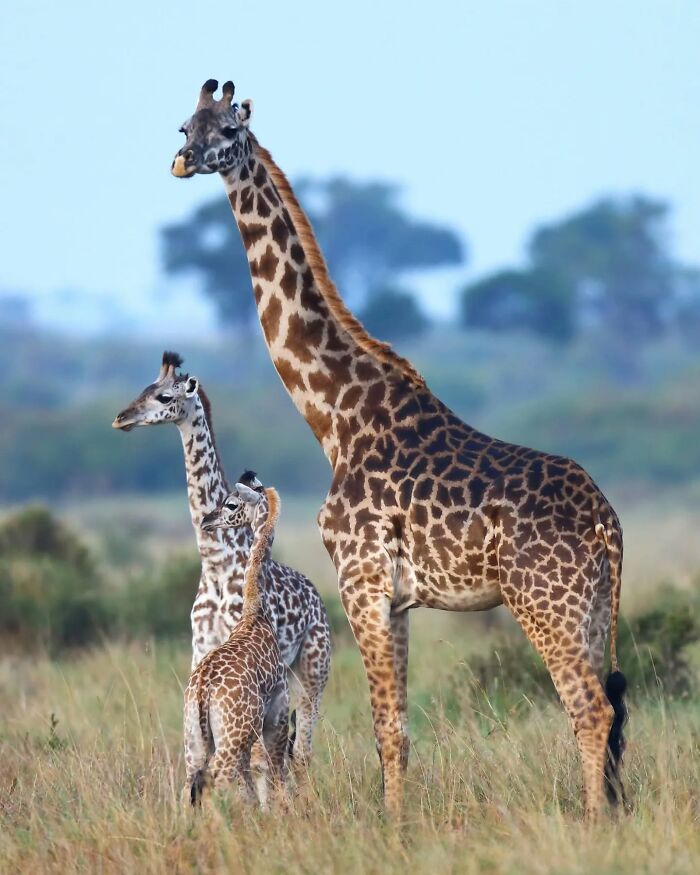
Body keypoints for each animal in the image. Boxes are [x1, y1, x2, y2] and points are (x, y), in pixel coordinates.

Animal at [112, 351, 331, 768]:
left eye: (164, 396)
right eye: (145, 387)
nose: (121, 418)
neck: (215, 560)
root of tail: (317, 595)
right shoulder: (200, 647)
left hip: (313, 666)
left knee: (302, 748)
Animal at [184, 482, 288, 807]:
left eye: (231, 504)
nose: (207, 521)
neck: (255, 612)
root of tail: (202, 690)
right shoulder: (277, 714)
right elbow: (274, 769)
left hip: (195, 738)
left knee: (189, 783)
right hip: (232, 735)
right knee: (211, 779)